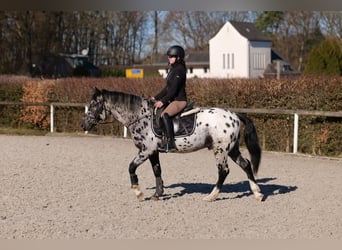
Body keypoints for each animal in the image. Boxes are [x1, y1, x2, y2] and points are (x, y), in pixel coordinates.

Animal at [81, 87, 264, 201]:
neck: (140, 116)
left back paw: (211, 197)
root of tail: (234, 115)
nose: (83, 125)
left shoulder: (146, 151)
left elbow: (131, 167)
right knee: (246, 165)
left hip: (220, 149)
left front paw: (138, 192)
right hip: (231, 149)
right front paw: (157, 194)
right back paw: (258, 194)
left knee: (223, 171)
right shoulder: (153, 152)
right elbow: (157, 170)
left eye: (94, 105)